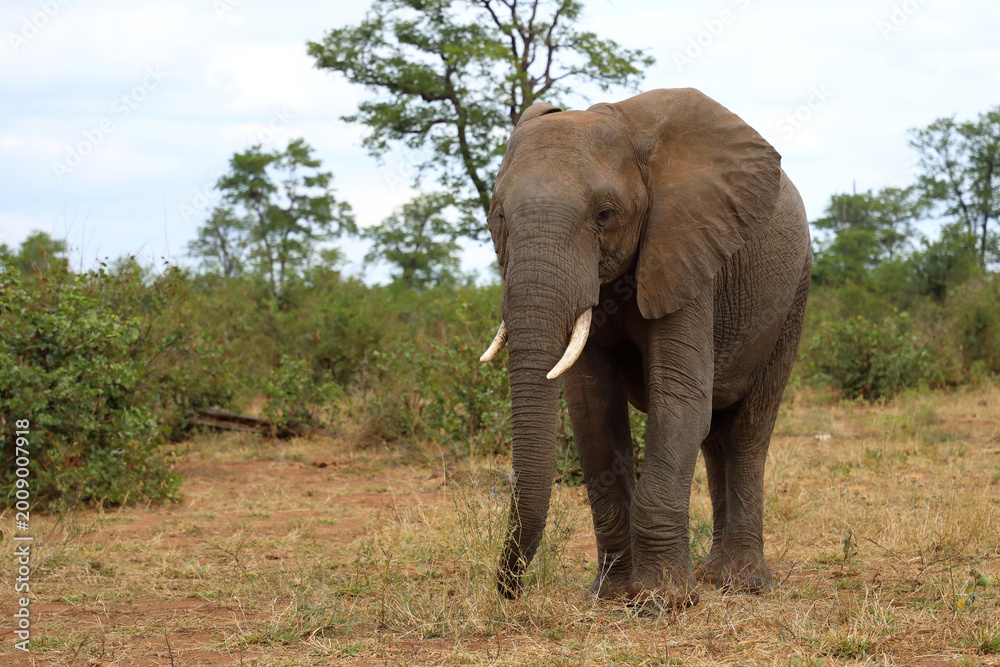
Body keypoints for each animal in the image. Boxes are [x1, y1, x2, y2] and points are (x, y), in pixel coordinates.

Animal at [479, 88, 811, 607]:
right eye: (498, 217)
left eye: (605, 215)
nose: (509, 590)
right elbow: (592, 408)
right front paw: (612, 596)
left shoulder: (687, 249)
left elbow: (678, 397)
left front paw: (663, 600)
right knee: (715, 436)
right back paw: (713, 578)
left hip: (793, 295)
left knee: (747, 429)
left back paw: (742, 583)